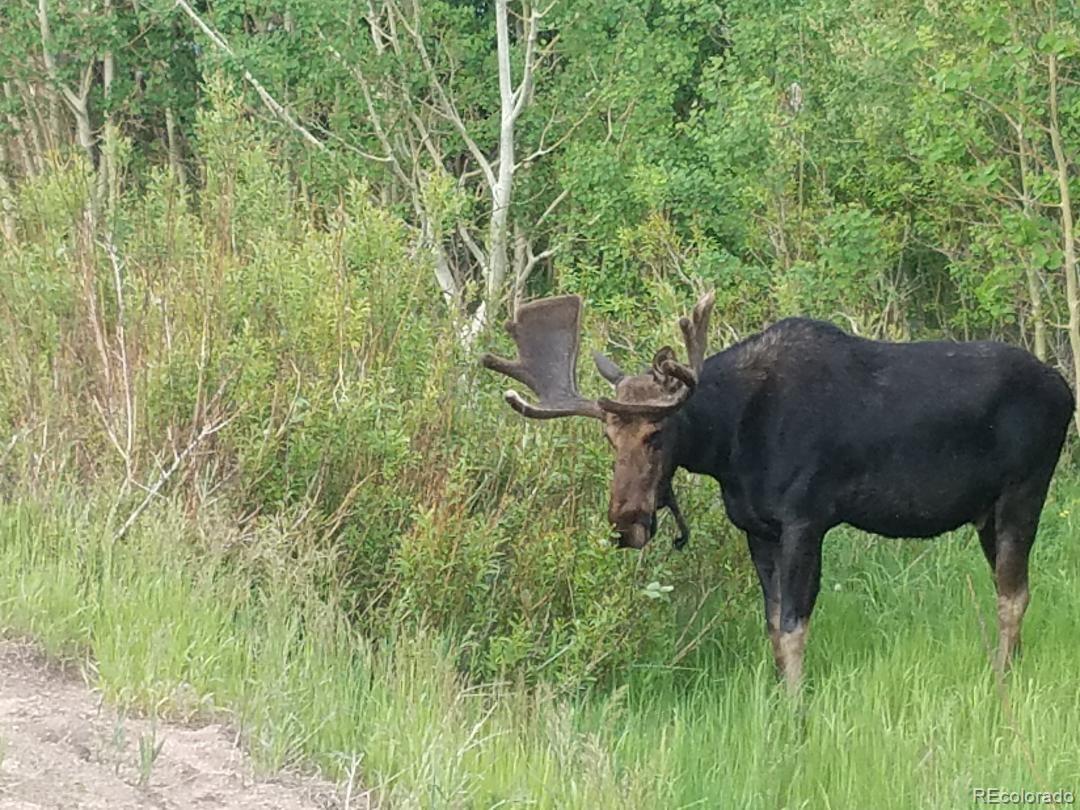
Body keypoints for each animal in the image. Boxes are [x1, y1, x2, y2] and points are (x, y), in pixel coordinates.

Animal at [486, 291, 1075, 691]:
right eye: (609, 437)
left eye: (657, 434)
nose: (626, 520)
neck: (728, 443)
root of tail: (1066, 391)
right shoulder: (757, 528)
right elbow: (771, 625)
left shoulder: (805, 519)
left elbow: (793, 625)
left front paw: (796, 709)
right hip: (986, 513)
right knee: (1013, 588)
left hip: (1024, 493)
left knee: (1013, 593)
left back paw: (1002, 677)